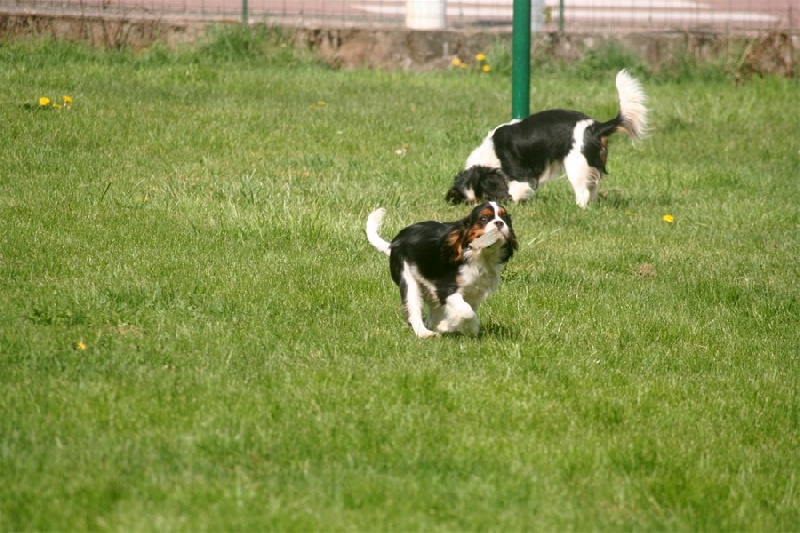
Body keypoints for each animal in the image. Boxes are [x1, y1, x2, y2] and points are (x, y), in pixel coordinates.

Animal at [364, 202, 516, 338]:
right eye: (483, 219)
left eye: (504, 218)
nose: (499, 223)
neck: (479, 256)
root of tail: (393, 244)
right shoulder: (446, 289)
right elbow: (467, 312)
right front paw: (455, 326)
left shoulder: (474, 294)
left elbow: (466, 311)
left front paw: (452, 327)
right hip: (409, 280)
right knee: (414, 311)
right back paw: (424, 333)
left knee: (432, 316)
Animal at [446, 71, 648, 209]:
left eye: (485, 197)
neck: (491, 156)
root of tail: (594, 127)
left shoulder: (518, 174)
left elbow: (516, 192)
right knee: (592, 188)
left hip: (576, 165)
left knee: (583, 192)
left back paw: (578, 208)